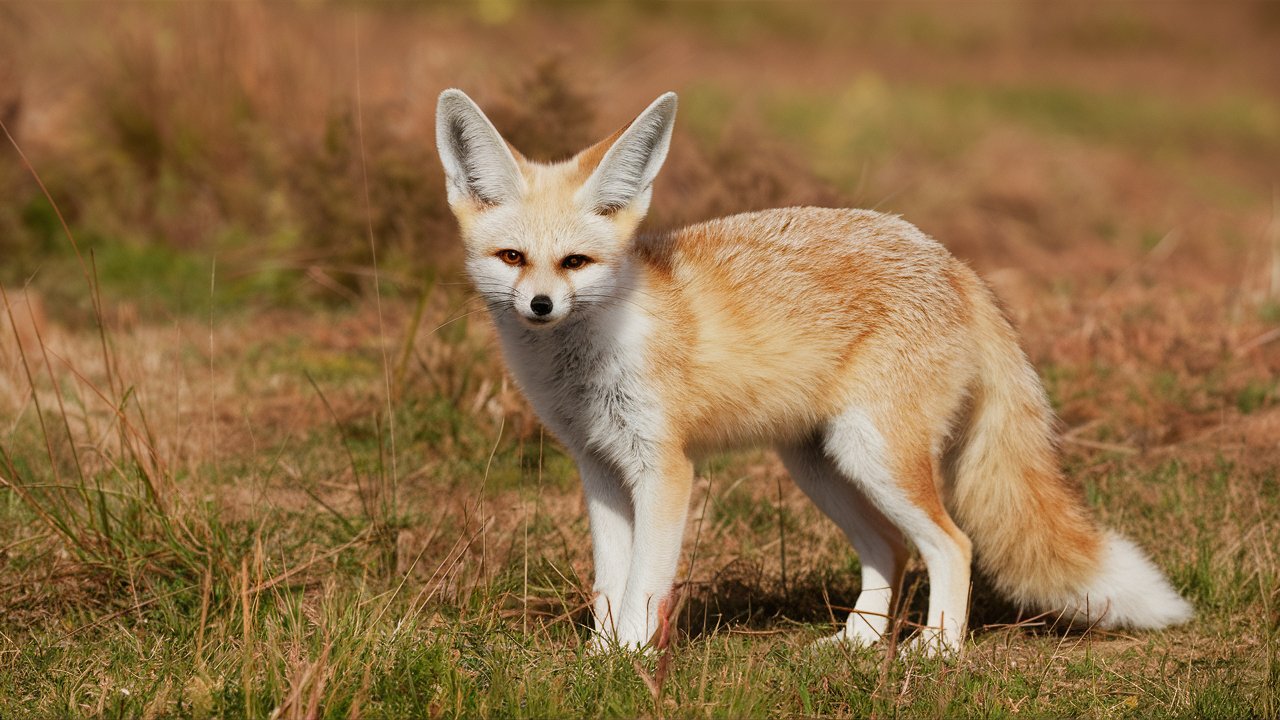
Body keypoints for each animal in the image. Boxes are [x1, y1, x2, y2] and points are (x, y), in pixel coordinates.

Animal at [432, 87, 1187, 653]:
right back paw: (858, 643)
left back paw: (938, 652)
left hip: (874, 458)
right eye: (511, 257)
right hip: (822, 465)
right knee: (892, 550)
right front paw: (600, 657)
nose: (539, 305)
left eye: (575, 263)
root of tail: (951, 261)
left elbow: (645, 585)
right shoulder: (599, 467)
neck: (593, 356)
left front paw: (634, 663)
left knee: (953, 545)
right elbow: (608, 588)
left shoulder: (665, 469)